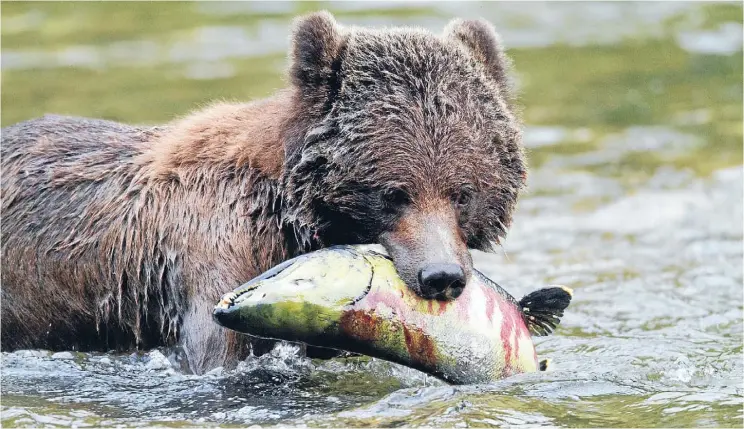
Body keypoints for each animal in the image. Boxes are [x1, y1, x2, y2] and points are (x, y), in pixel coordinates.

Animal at [0, 9, 528, 372]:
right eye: (393, 193)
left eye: (463, 193)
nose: (441, 275)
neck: (288, 209)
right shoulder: (215, 257)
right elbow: (218, 355)